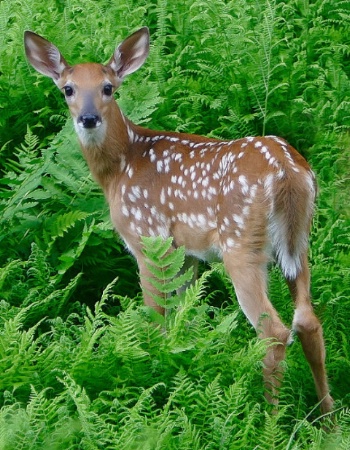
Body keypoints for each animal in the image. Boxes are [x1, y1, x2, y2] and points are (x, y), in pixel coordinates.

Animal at [23, 26, 334, 414]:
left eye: (108, 87)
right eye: (68, 89)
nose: (89, 118)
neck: (119, 168)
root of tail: (287, 171)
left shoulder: (147, 239)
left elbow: (156, 319)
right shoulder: (186, 253)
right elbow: (184, 317)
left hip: (241, 243)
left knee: (275, 332)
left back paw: (270, 419)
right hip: (299, 241)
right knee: (308, 321)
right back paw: (328, 418)